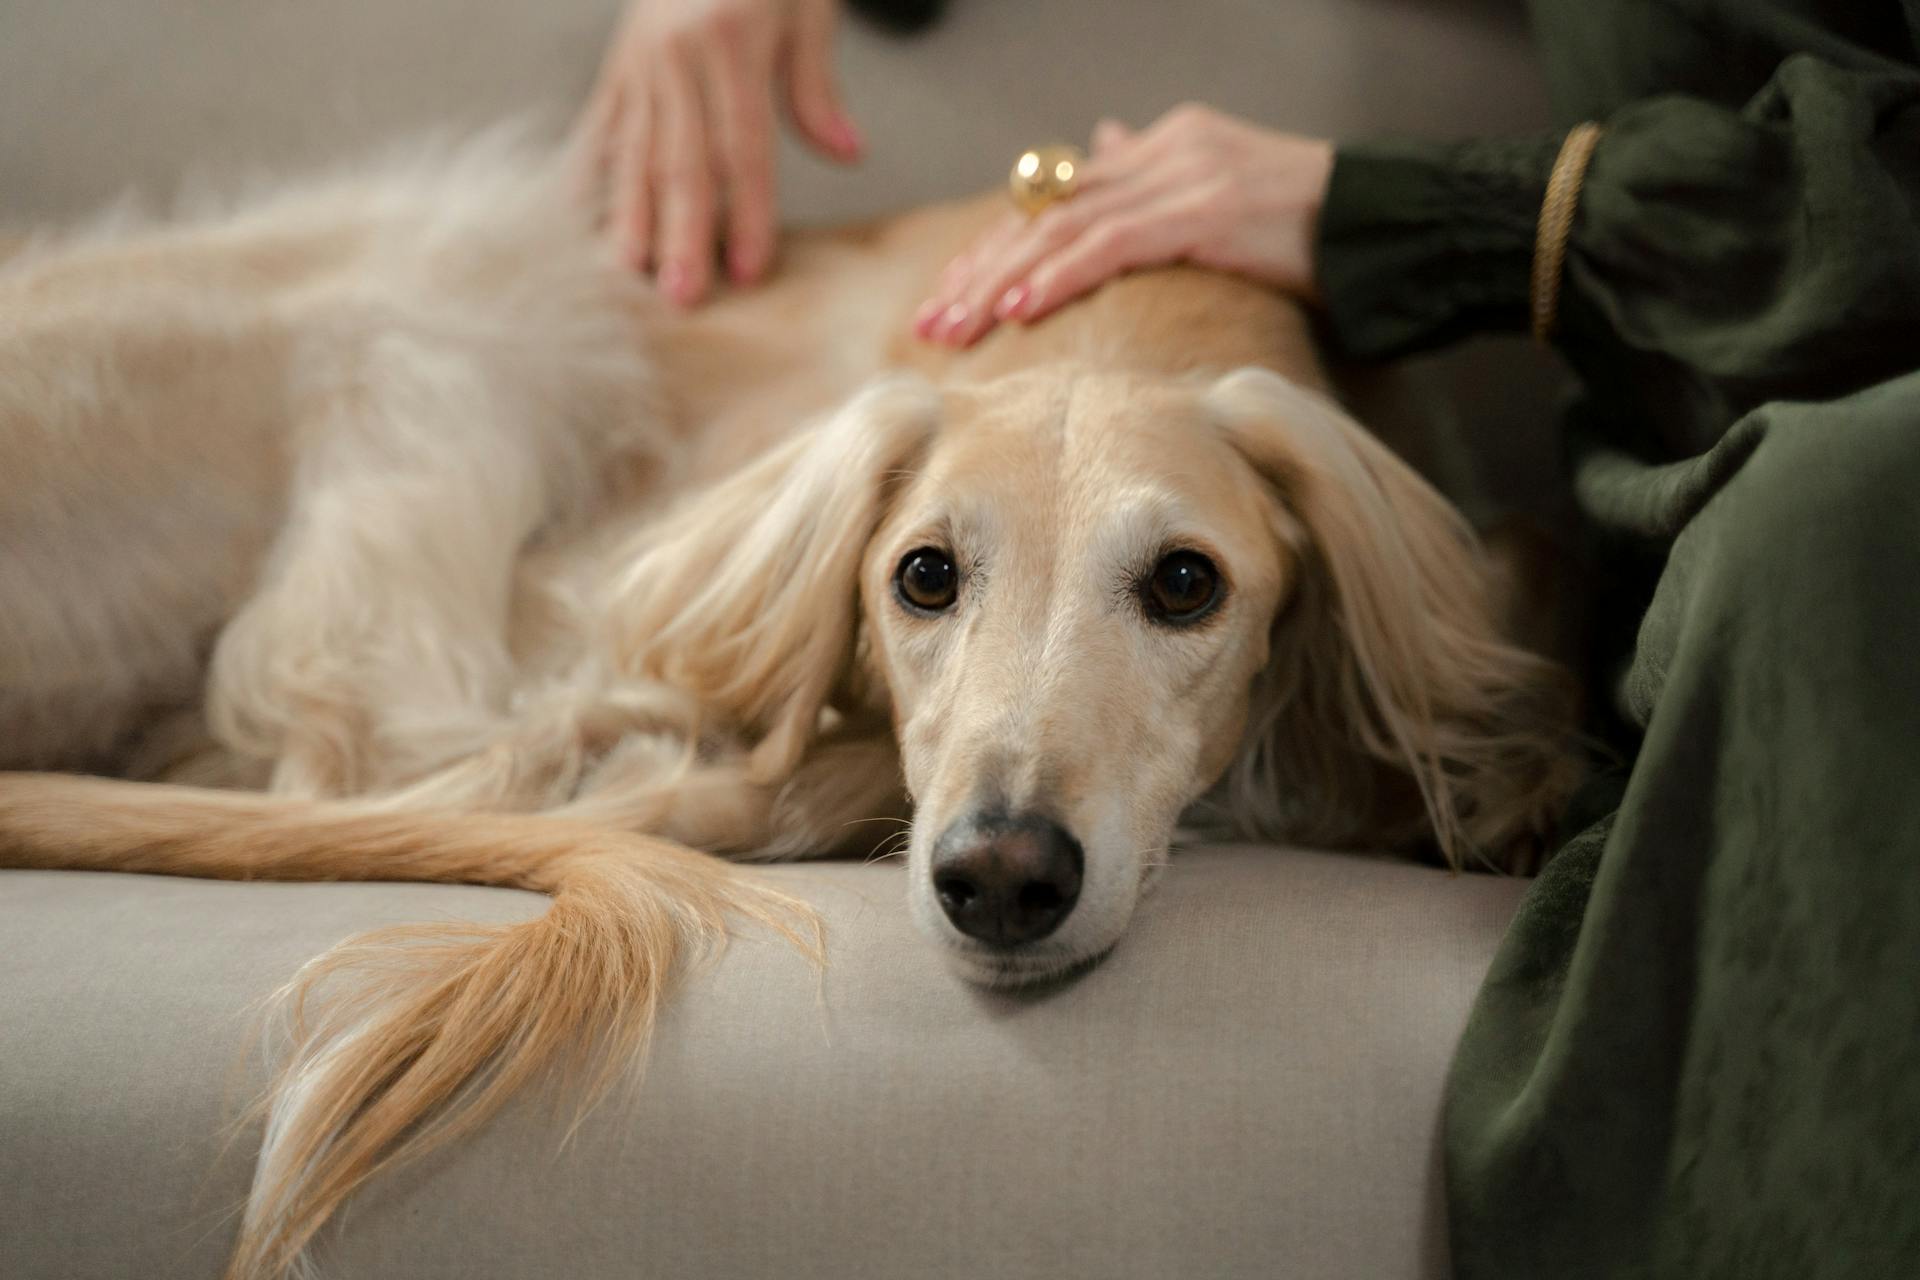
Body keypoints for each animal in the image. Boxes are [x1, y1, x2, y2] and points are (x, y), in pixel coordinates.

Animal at [0, 135, 1574, 1274]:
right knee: (367, 738)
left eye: (1188, 583)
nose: (1001, 880)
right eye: (923, 574)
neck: (1114, 317)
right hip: (456, 292)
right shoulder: (620, 590)